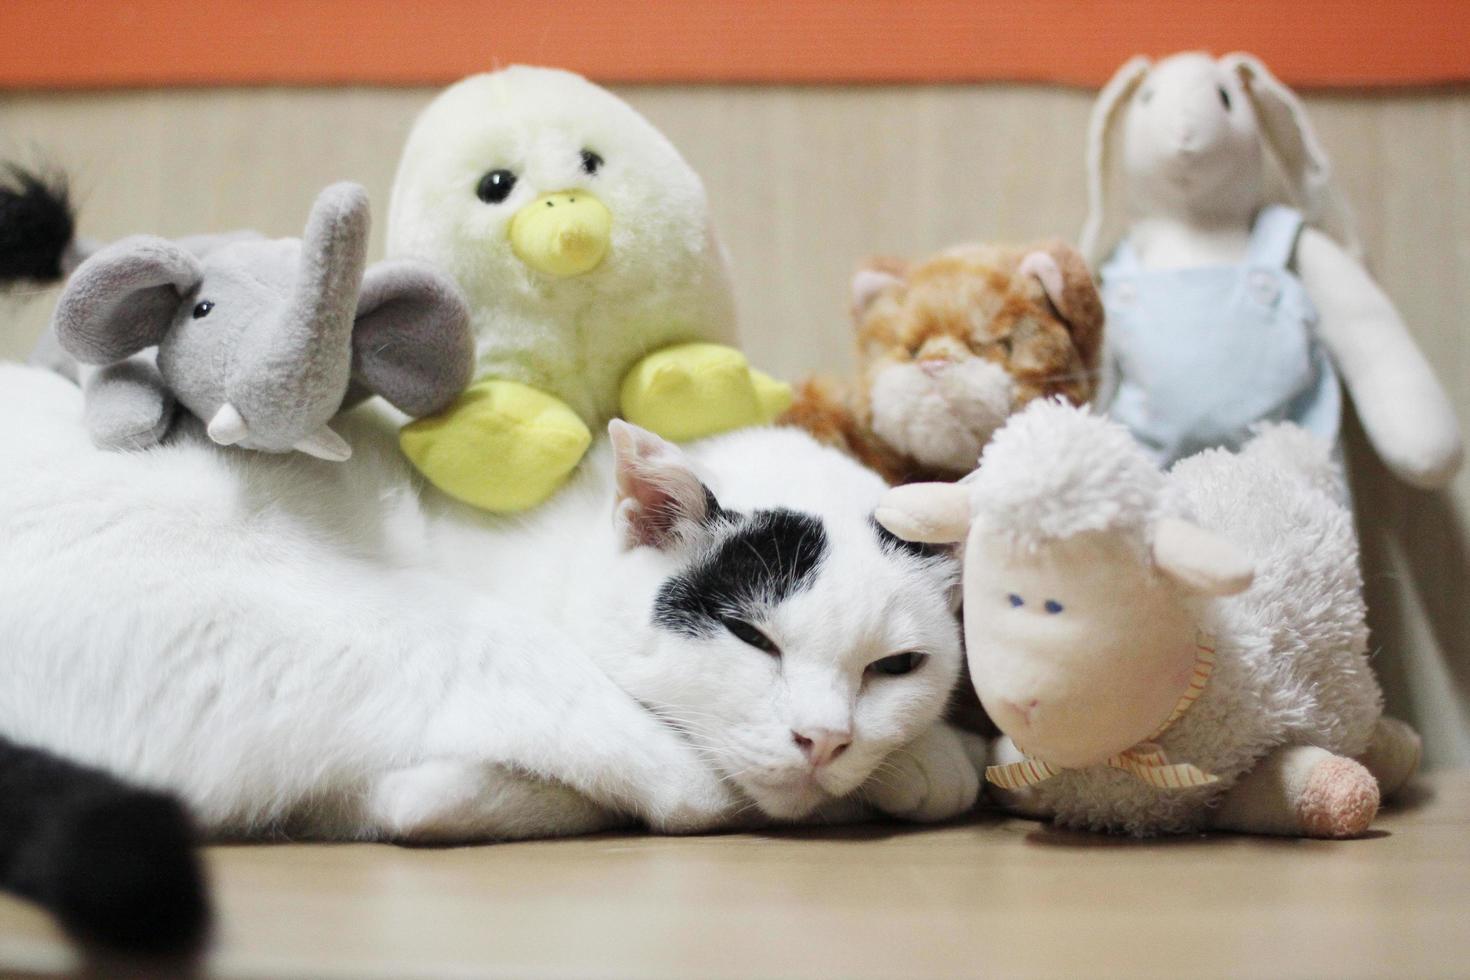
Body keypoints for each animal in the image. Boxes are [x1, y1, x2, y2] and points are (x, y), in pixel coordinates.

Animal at [2, 364, 987, 840]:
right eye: (752, 639)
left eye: (896, 667)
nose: (826, 742)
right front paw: (925, 761)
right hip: (425, 633)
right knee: (677, 794)